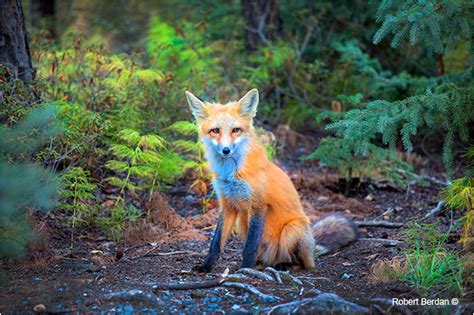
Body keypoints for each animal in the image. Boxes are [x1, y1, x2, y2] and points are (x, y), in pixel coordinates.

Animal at [187, 89, 358, 272]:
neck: (230, 173)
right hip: (242, 223)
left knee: (304, 265)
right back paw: (262, 265)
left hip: (292, 230)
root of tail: (312, 250)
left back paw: (284, 265)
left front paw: (245, 269)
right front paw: (206, 266)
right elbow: (216, 243)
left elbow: (249, 247)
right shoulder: (228, 205)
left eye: (236, 130)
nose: (226, 150)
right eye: (215, 130)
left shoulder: (258, 204)